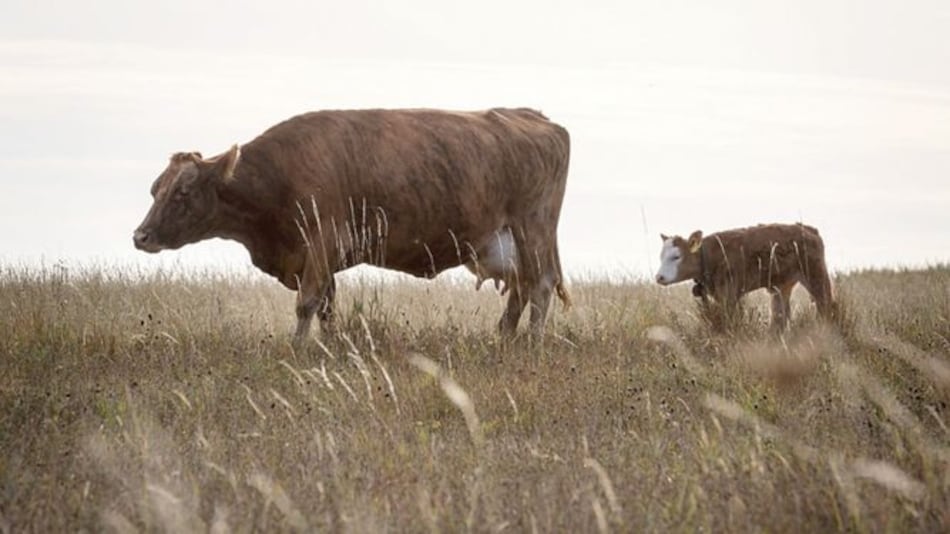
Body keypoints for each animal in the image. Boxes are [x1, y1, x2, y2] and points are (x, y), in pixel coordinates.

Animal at [133, 108, 571, 346]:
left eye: (183, 192)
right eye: (155, 188)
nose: (140, 236)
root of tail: (536, 117)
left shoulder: (322, 240)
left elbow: (307, 302)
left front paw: (297, 349)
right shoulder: (318, 257)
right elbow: (326, 307)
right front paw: (325, 347)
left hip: (532, 230)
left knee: (541, 285)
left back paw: (531, 342)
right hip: (505, 243)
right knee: (520, 289)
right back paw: (504, 337)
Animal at [654, 223, 834, 332]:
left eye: (676, 257)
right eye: (661, 256)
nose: (659, 277)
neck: (711, 255)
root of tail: (808, 229)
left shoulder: (729, 294)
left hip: (816, 276)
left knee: (826, 306)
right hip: (781, 286)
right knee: (780, 316)